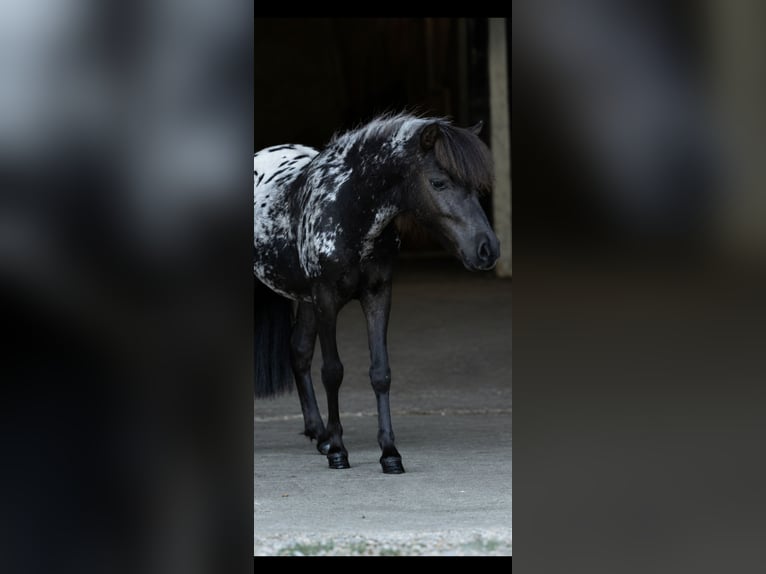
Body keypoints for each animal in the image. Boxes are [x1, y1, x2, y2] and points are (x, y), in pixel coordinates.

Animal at [253, 112, 499, 474]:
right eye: (438, 182)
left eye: (474, 186)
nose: (488, 250)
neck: (347, 209)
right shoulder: (326, 298)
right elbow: (333, 372)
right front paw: (339, 452)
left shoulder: (378, 294)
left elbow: (380, 372)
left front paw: (389, 453)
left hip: (305, 299)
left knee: (298, 352)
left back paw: (318, 433)